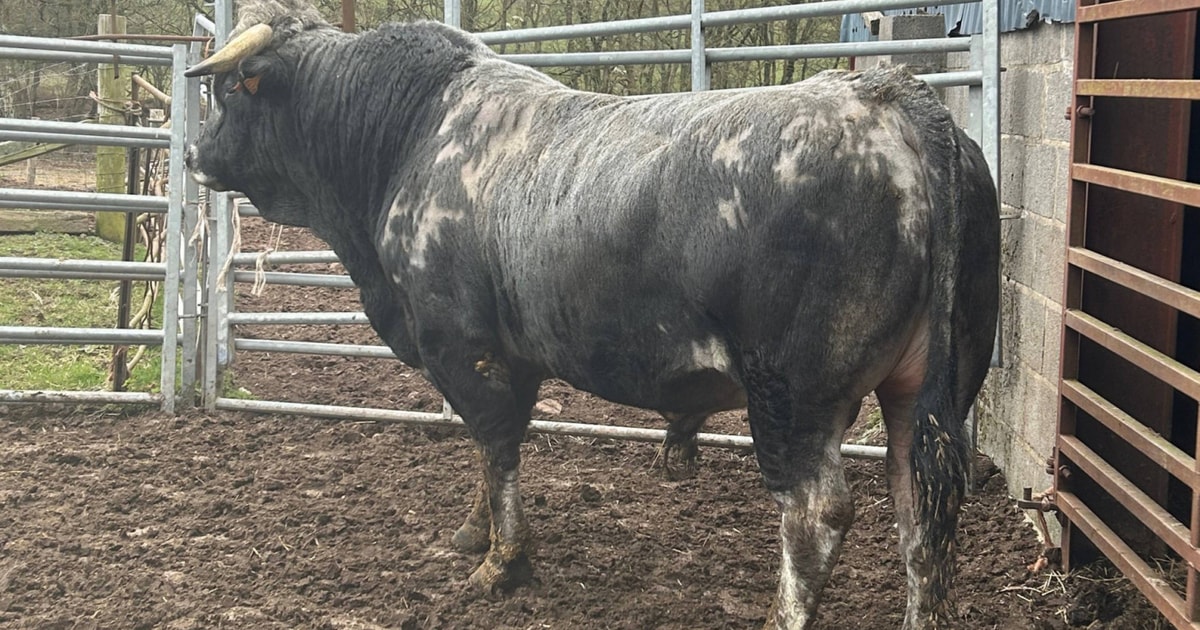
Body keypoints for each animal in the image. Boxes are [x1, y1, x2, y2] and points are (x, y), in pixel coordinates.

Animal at [183, 2, 1000, 627]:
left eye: (228, 92)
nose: (191, 155)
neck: (407, 136)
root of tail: (890, 96)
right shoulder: (512, 353)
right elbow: (491, 450)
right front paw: (475, 533)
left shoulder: (459, 343)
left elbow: (497, 441)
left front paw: (501, 564)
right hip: (929, 390)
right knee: (922, 512)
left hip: (793, 394)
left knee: (817, 516)